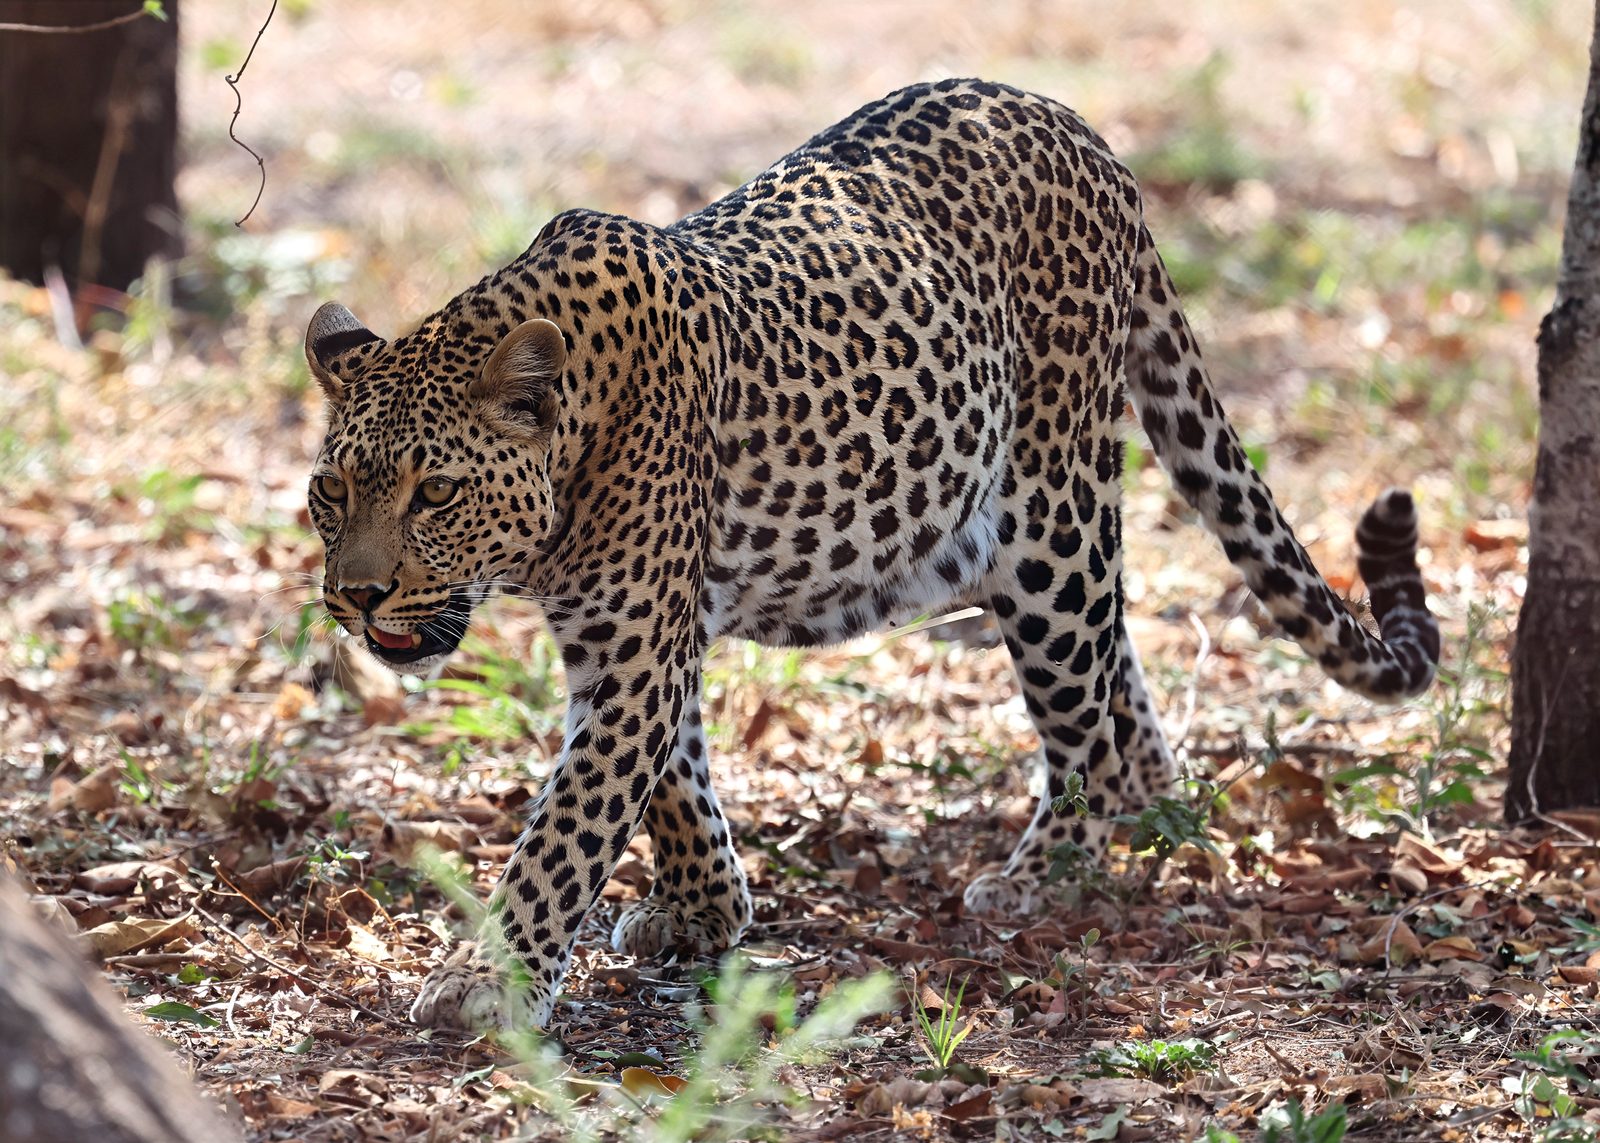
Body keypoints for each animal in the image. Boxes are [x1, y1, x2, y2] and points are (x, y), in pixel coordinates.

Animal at [304, 79, 1439, 1031]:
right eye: (331, 492)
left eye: (435, 493)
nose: (358, 597)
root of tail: (1078, 129)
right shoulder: (626, 633)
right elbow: (674, 777)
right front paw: (704, 906)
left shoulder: (635, 646)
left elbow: (569, 824)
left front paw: (483, 980)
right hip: (968, 527)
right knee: (1116, 657)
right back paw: (1160, 801)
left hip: (1048, 518)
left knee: (1082, 712)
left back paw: (1049, 869)